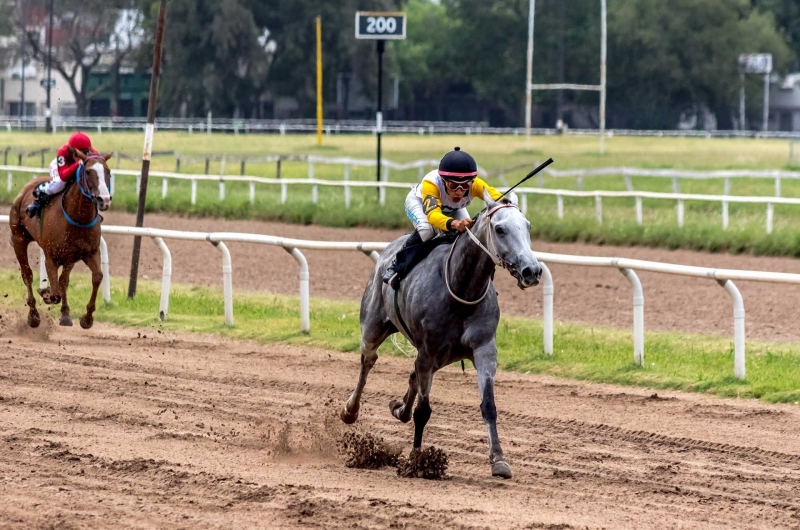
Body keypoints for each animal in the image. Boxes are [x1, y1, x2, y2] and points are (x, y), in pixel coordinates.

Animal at [8, 148, 112, 328]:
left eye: (108, 172)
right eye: (88, 171)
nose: (104, 199)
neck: (78, 217)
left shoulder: (89, 253)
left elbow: (97, 277)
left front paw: (86, 318)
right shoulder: (51, 256)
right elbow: (55, 292)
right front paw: (46, 293)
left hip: (68, 257)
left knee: (64, 280)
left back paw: (64, 313)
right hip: (18, 239)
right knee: (27, 274)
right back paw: (33, 316)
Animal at [340, 191, 540, 478]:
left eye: (528, 226)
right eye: (500, 229)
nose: (532, 271)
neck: (460, 288)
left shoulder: (484, 349)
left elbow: (488, 406)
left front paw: (499, 460)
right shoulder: (429, 352)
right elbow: (423, 411)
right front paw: (417, 462)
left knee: (411, 376)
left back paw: (399, 409)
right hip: (372, 328)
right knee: (368, 362)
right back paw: (350, 410)